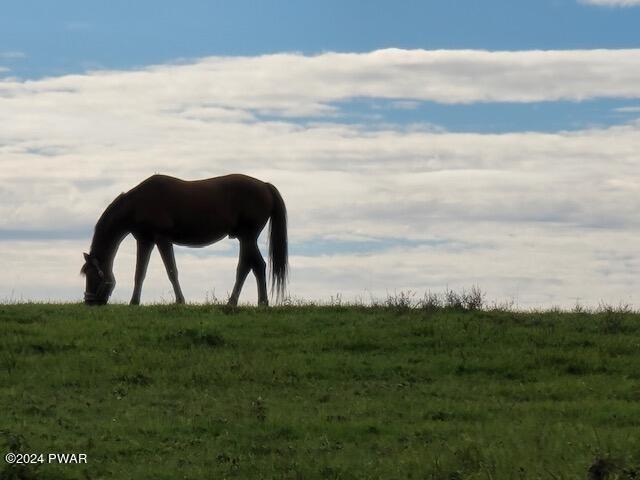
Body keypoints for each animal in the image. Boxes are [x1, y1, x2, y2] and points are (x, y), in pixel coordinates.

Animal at [80, 174, 288, 306]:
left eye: (91, 275)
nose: (89, 302)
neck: (137, 204)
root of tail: (265, 185)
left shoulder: (162, 239)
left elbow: (172, 271)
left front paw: (180, 301)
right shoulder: (145, 241)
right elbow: (140, 273)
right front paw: (134, 302)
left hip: (247, 237)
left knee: (250, 266)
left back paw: (241, 303)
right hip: (246, 238)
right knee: (254, 266)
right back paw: (255, 302)